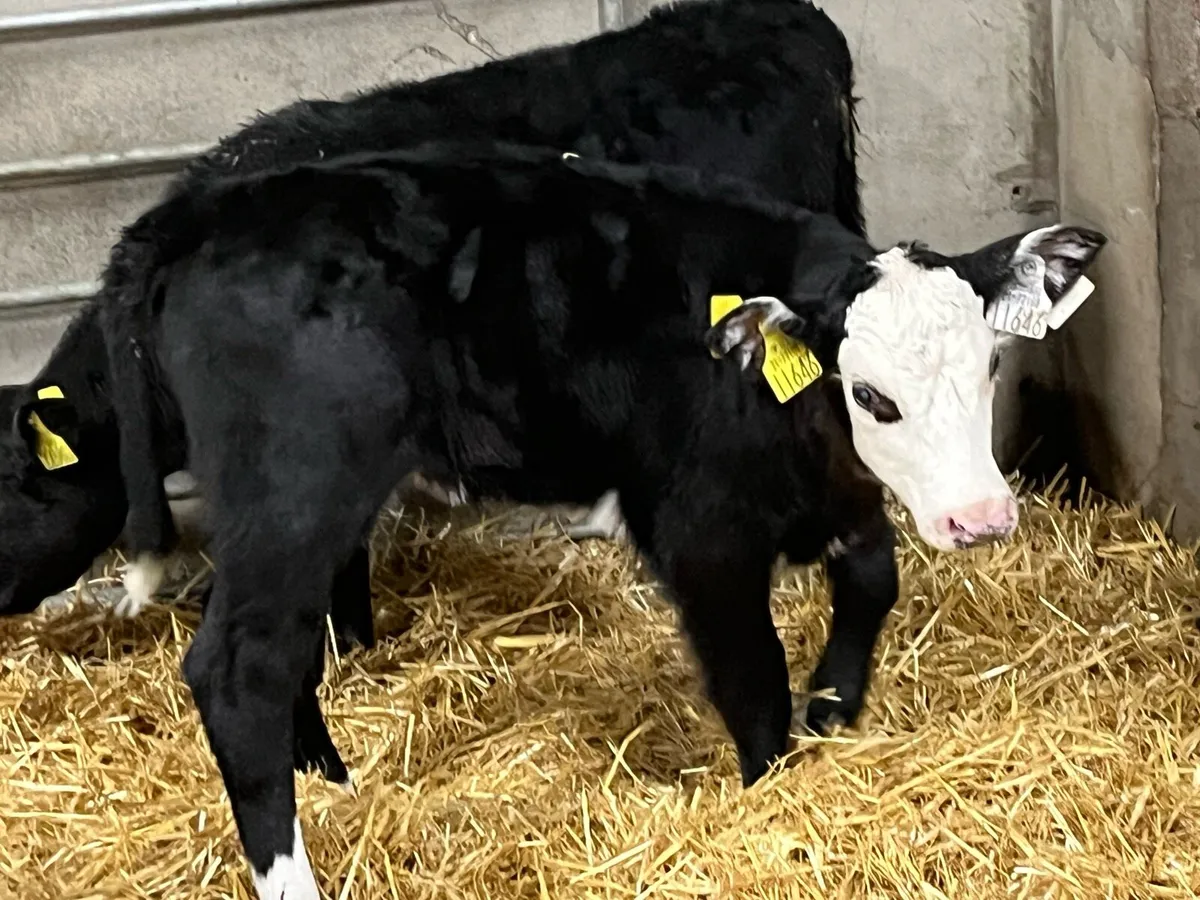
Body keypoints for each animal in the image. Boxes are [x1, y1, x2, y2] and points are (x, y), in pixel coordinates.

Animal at [98, 143, 1105, 899]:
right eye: (872, 396)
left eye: (990, 365)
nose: (981, 518)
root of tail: (193, 215)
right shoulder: (698, 531)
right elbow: (751, 677)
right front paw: (771, 790)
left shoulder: (839, 499)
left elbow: (871, 580)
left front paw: (835, 700)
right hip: (296, 489)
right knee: (239, 670)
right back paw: (293, 873)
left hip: (288, 511)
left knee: (279, 649)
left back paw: (329, 776)